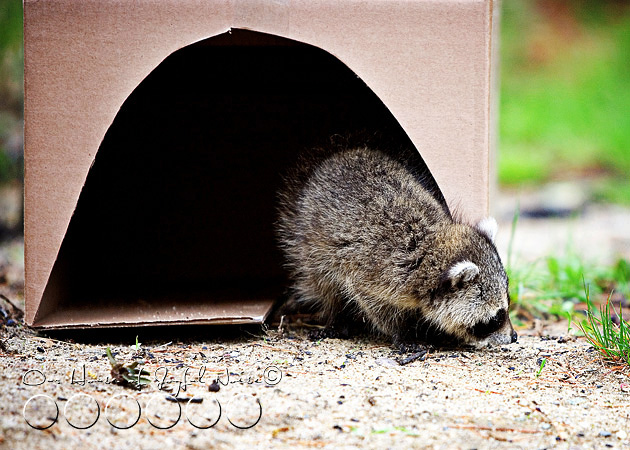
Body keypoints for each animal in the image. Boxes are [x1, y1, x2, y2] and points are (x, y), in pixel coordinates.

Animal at [278, 144, 520, 348]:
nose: (514, 337)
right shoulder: (376, 275)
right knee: (324, 283)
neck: (430, 247)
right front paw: (404, 333)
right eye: (496, 317)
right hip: (311, 242)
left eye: (508, 302)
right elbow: (376, 306)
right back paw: (337, 318)